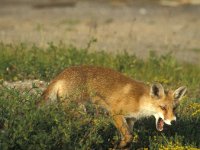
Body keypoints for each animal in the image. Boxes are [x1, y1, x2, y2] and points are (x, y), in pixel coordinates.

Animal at [38, 65, 187, 148]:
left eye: (174, 108)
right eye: (163, 107)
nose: (173, 121)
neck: (139, 100)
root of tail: (61, 74)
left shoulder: (130, 119)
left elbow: (128, 137)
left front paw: (121, 146)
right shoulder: (115, 113)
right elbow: (128, 136)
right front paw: (117, 146)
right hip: (79, 112)